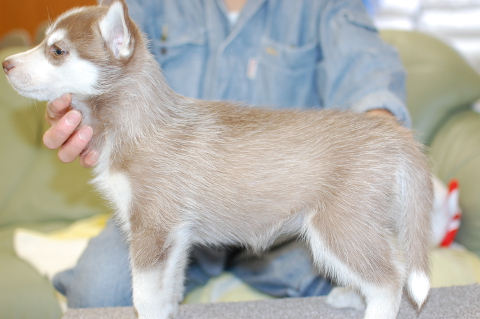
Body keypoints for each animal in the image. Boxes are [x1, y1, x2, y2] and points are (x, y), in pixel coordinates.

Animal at [2, 1, 432, 318]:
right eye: (45, 42)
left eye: (58, 51)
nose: (6, 64)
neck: (140, 122)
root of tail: (394, 134)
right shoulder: (174, 235)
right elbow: (168, 287)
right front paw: (169, 310)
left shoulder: (151, 228)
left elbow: (143, 294)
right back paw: (350, 296)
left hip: (337, 226)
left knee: (390, 278)